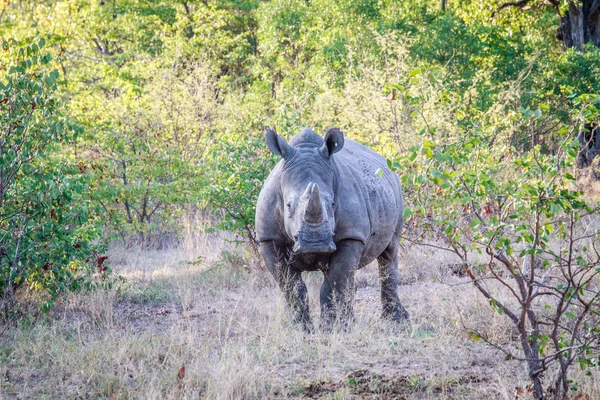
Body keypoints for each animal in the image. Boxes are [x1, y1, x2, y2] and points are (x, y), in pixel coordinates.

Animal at [255, 126, 410, 330]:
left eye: (333, 204)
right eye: (288, 206)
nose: (315, 244)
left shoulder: (351, 236)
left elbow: (334, 283)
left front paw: (331, 328)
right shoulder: (269, 239)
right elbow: (292, 286)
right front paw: (302, 329)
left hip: (397, 192)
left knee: (389, 252)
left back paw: (395, 320)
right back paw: (352, 321)